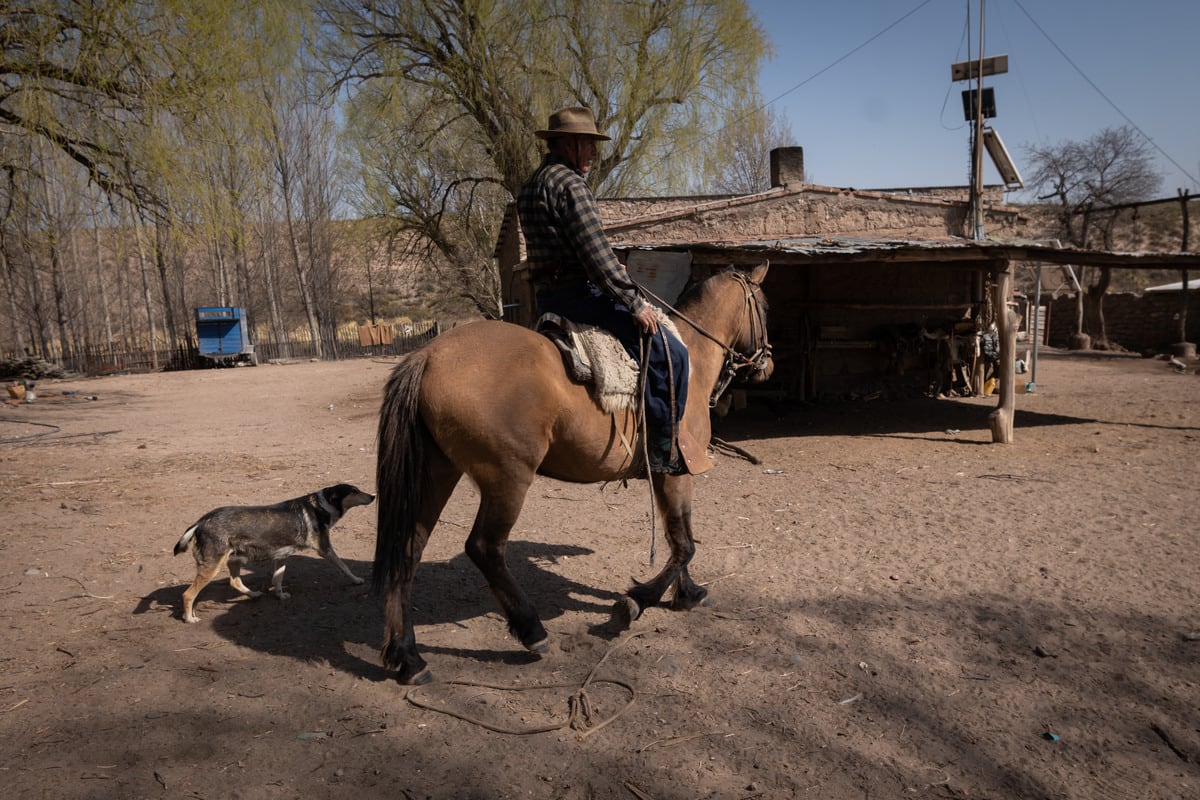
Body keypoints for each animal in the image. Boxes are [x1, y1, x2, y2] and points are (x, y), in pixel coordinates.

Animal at [174, 484, 374, 623]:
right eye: (354, 491)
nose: (373, 496)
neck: (321, 506)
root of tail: (201, 521)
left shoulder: (282, 555)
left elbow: (277, 579)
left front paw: (280, 595)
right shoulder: (325, 549)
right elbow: (344, 566)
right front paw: (357, 580)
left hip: (235, 559)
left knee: (234, 581)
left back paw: (254, 594)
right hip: (213, 567)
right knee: (188, 594)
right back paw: (189, 618)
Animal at [374, 261, 772, 681]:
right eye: (764, 307)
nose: (769, 363)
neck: (691, 358)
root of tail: (428, 357)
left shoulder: (668, 476)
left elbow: (678, 534)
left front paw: (688, 593)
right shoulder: (678, 472)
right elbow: (684, 543)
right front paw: (636, 601)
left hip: (437, 474)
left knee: (408, 549)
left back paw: (407, 657)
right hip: (507, 479)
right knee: (484, 548)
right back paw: (531, 631)